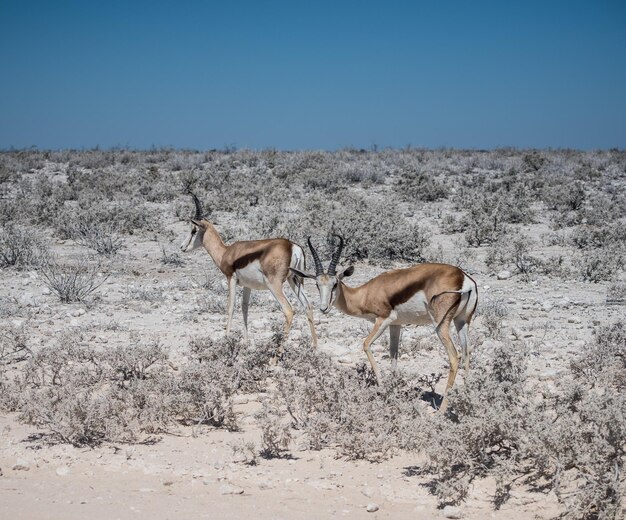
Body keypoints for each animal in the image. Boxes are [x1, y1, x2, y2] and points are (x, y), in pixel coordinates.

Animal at [290, 236, 476, 410]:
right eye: (317, 284)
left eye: (335, 284)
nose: (323, 308)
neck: (364, 294)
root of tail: (464, 278)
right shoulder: (396, 325)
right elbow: (393, 354)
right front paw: (393, 389)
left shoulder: (384, 319)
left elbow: (366, 345)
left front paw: (382, 388)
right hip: (462, 322)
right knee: (467, 352)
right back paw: (467, 399)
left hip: (441, 325)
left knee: (455, 356)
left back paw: (442, 410)